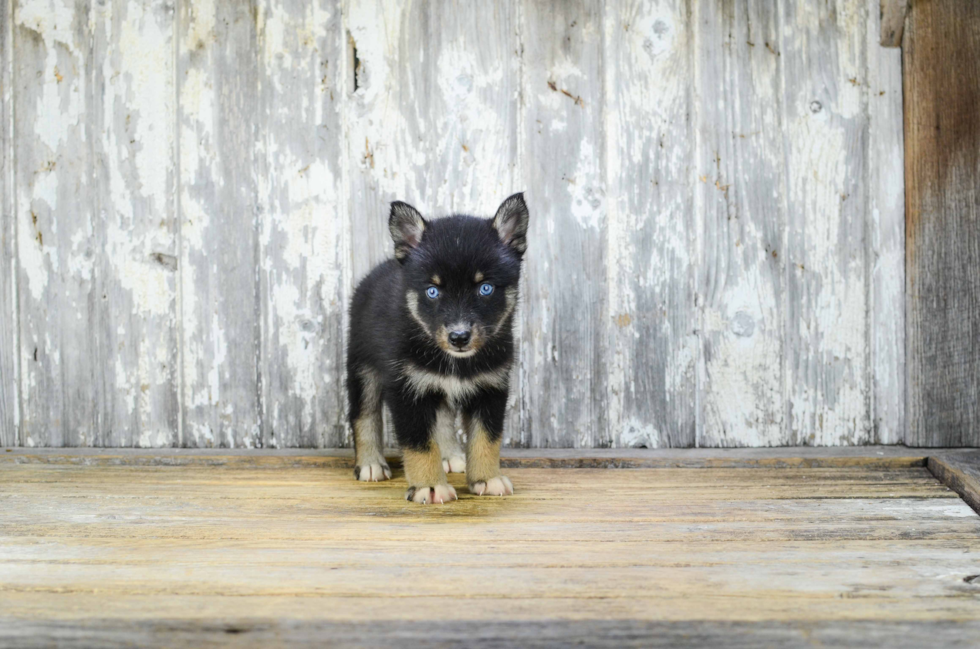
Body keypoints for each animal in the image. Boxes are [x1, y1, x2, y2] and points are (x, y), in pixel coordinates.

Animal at [344, 195, 528, 504]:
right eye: (433, 291)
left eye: (486, 288)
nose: (459, 337)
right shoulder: (406, 390)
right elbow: (419, 443)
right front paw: (429, 486)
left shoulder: (491, 387)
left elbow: (486, 439)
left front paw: (486, 478)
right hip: (362, 365)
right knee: (364, 413)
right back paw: (370, 463)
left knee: (441, 416)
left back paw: (450, 455)